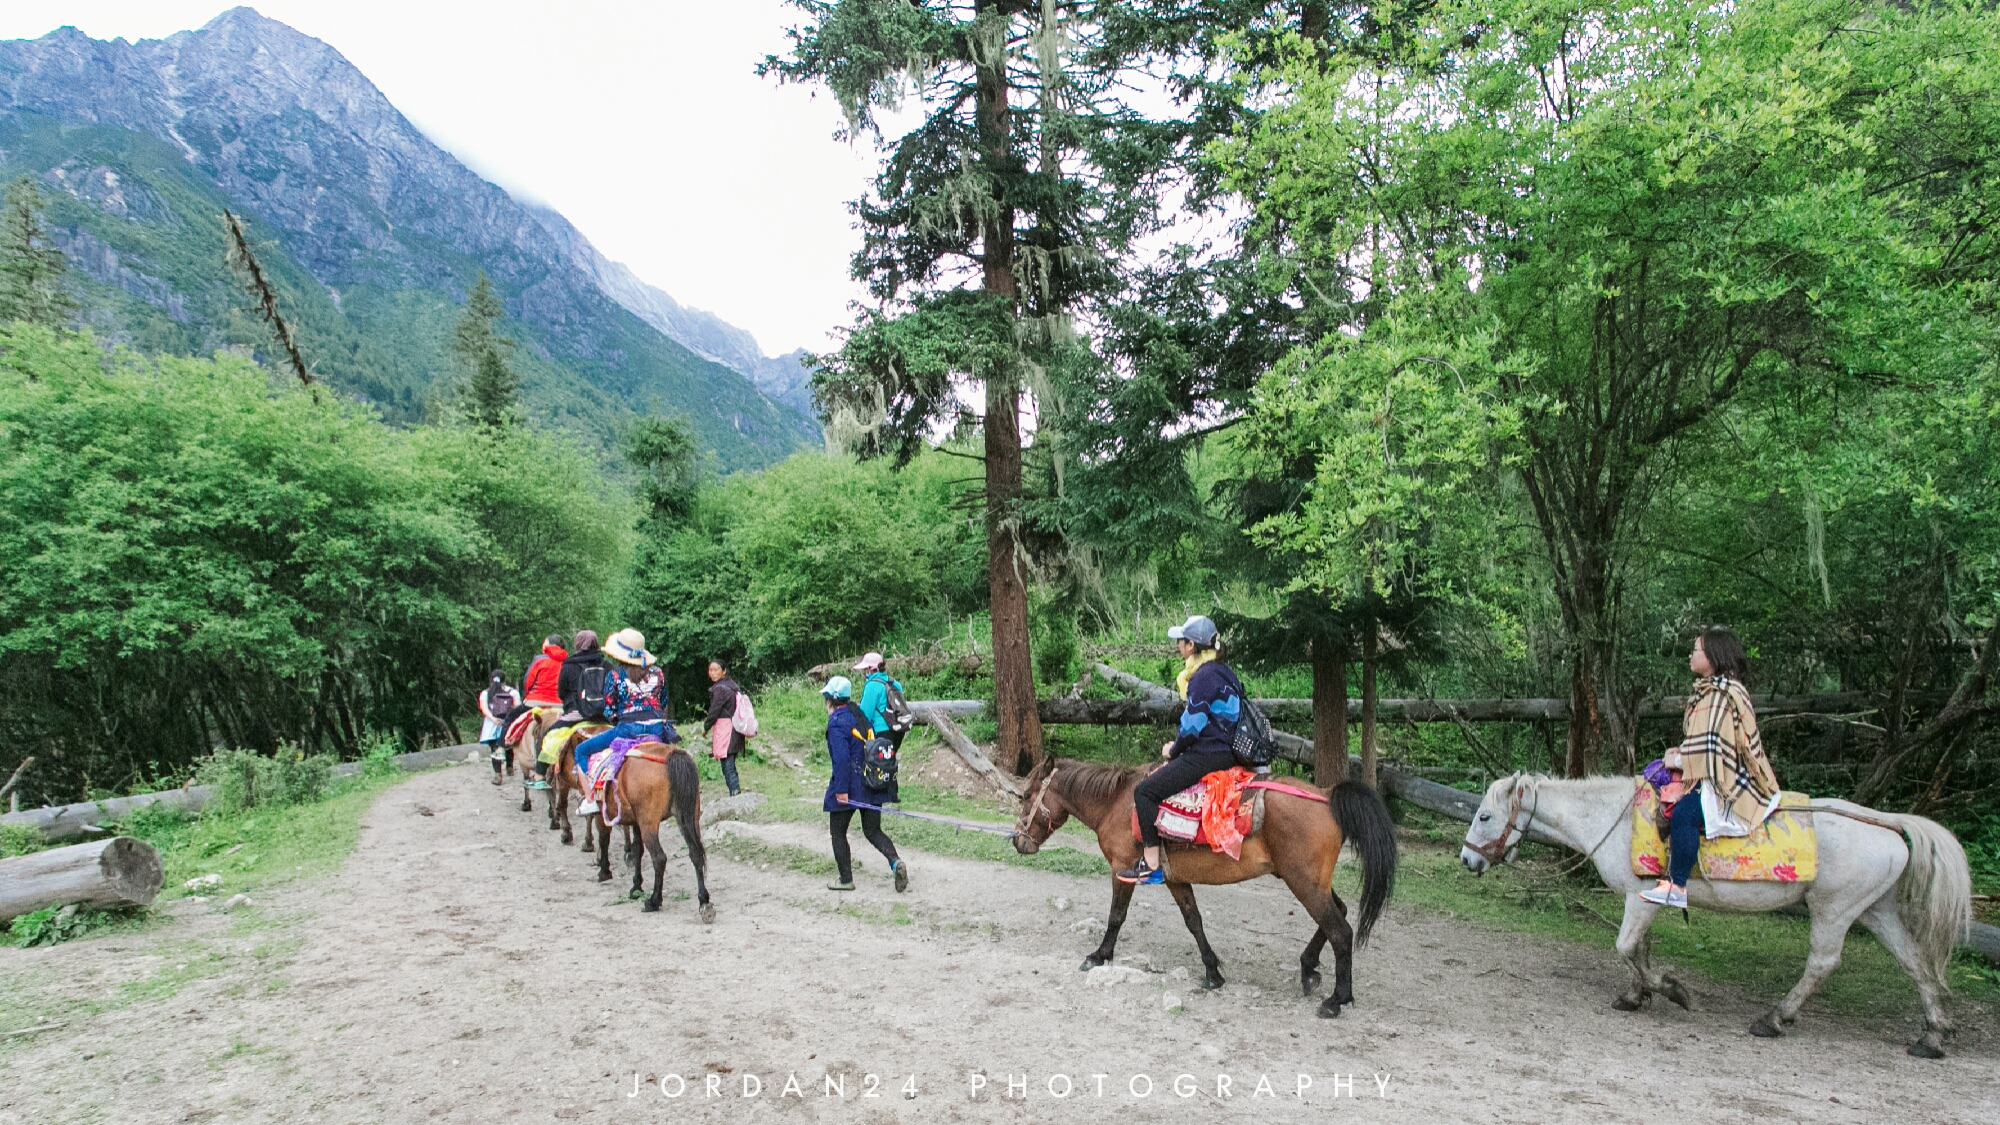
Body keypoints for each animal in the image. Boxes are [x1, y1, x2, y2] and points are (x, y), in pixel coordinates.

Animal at [1008, 756, 1400, 1012]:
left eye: (1026, 797)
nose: (1018, 841)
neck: (1115, 804)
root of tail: (1328, 795)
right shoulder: (1175, 879)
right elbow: (1193, 921)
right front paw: (1212, 972)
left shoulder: (1122, 870)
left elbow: (1116, 917)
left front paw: (1098, 955)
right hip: (1311, 881)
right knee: (1340, 914)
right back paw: (1308, 967)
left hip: (1302, 882)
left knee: (1341, 930)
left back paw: (1337, 999)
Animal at [1464, 768, 1976, 1048]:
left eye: (1485, 815)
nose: (1469, 860)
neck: (1616, 818)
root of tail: (1886, 823)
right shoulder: (1644, 899)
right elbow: (1639, 950)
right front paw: (1636, 996)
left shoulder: (1638, 896)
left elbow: (1627, 947)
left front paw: (1672, 991)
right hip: (1875, 912)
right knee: (1915, 964)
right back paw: (1932, 1035)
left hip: (1834, 910)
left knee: (1823, 963)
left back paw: (1774, 1019)